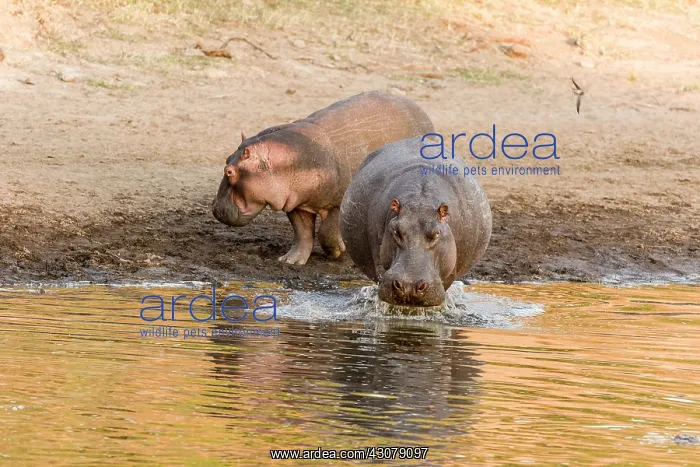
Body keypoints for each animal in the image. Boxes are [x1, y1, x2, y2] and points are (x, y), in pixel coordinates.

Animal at [211, 91, 435, 265]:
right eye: (225, 159)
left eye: (229, 171)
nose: (214, 207)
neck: (287, 160)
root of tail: (422, 111)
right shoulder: (296, 204)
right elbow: (302, 234)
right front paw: (290, 261)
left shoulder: (338, 202)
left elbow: (326, 231)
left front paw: (338, 251)